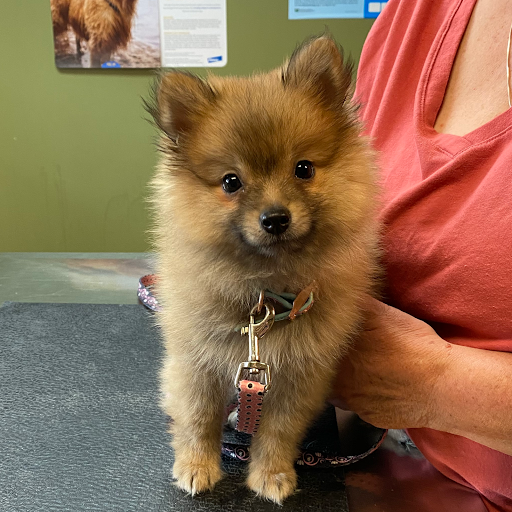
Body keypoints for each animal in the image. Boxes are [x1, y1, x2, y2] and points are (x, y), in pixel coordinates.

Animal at [147, 35, 380, 504]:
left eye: (303, 169)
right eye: (231, 182)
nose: (275, 218)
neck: (264, 294)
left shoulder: (298, 376)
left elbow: (278, 430)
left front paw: (271, 474)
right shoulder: (195, 362)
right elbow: (197, 418)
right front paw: (196, 466)